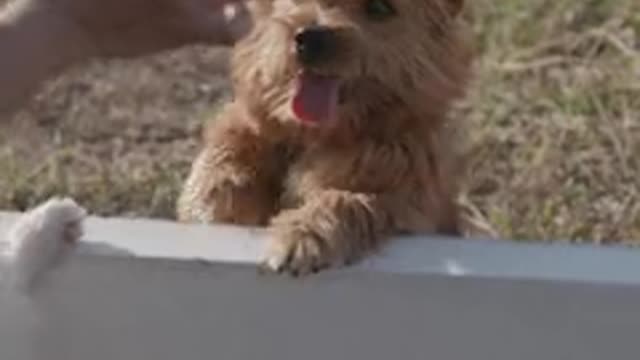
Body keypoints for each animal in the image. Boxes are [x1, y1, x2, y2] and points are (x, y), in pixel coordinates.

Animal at [178, 0, 472, 274]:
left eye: (379, 7)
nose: (309, 38)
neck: (313, 137)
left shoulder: (406, 199)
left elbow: (350, 201)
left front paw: (302, 236)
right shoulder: (245, 128)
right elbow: (223, 159)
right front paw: (214, 205)